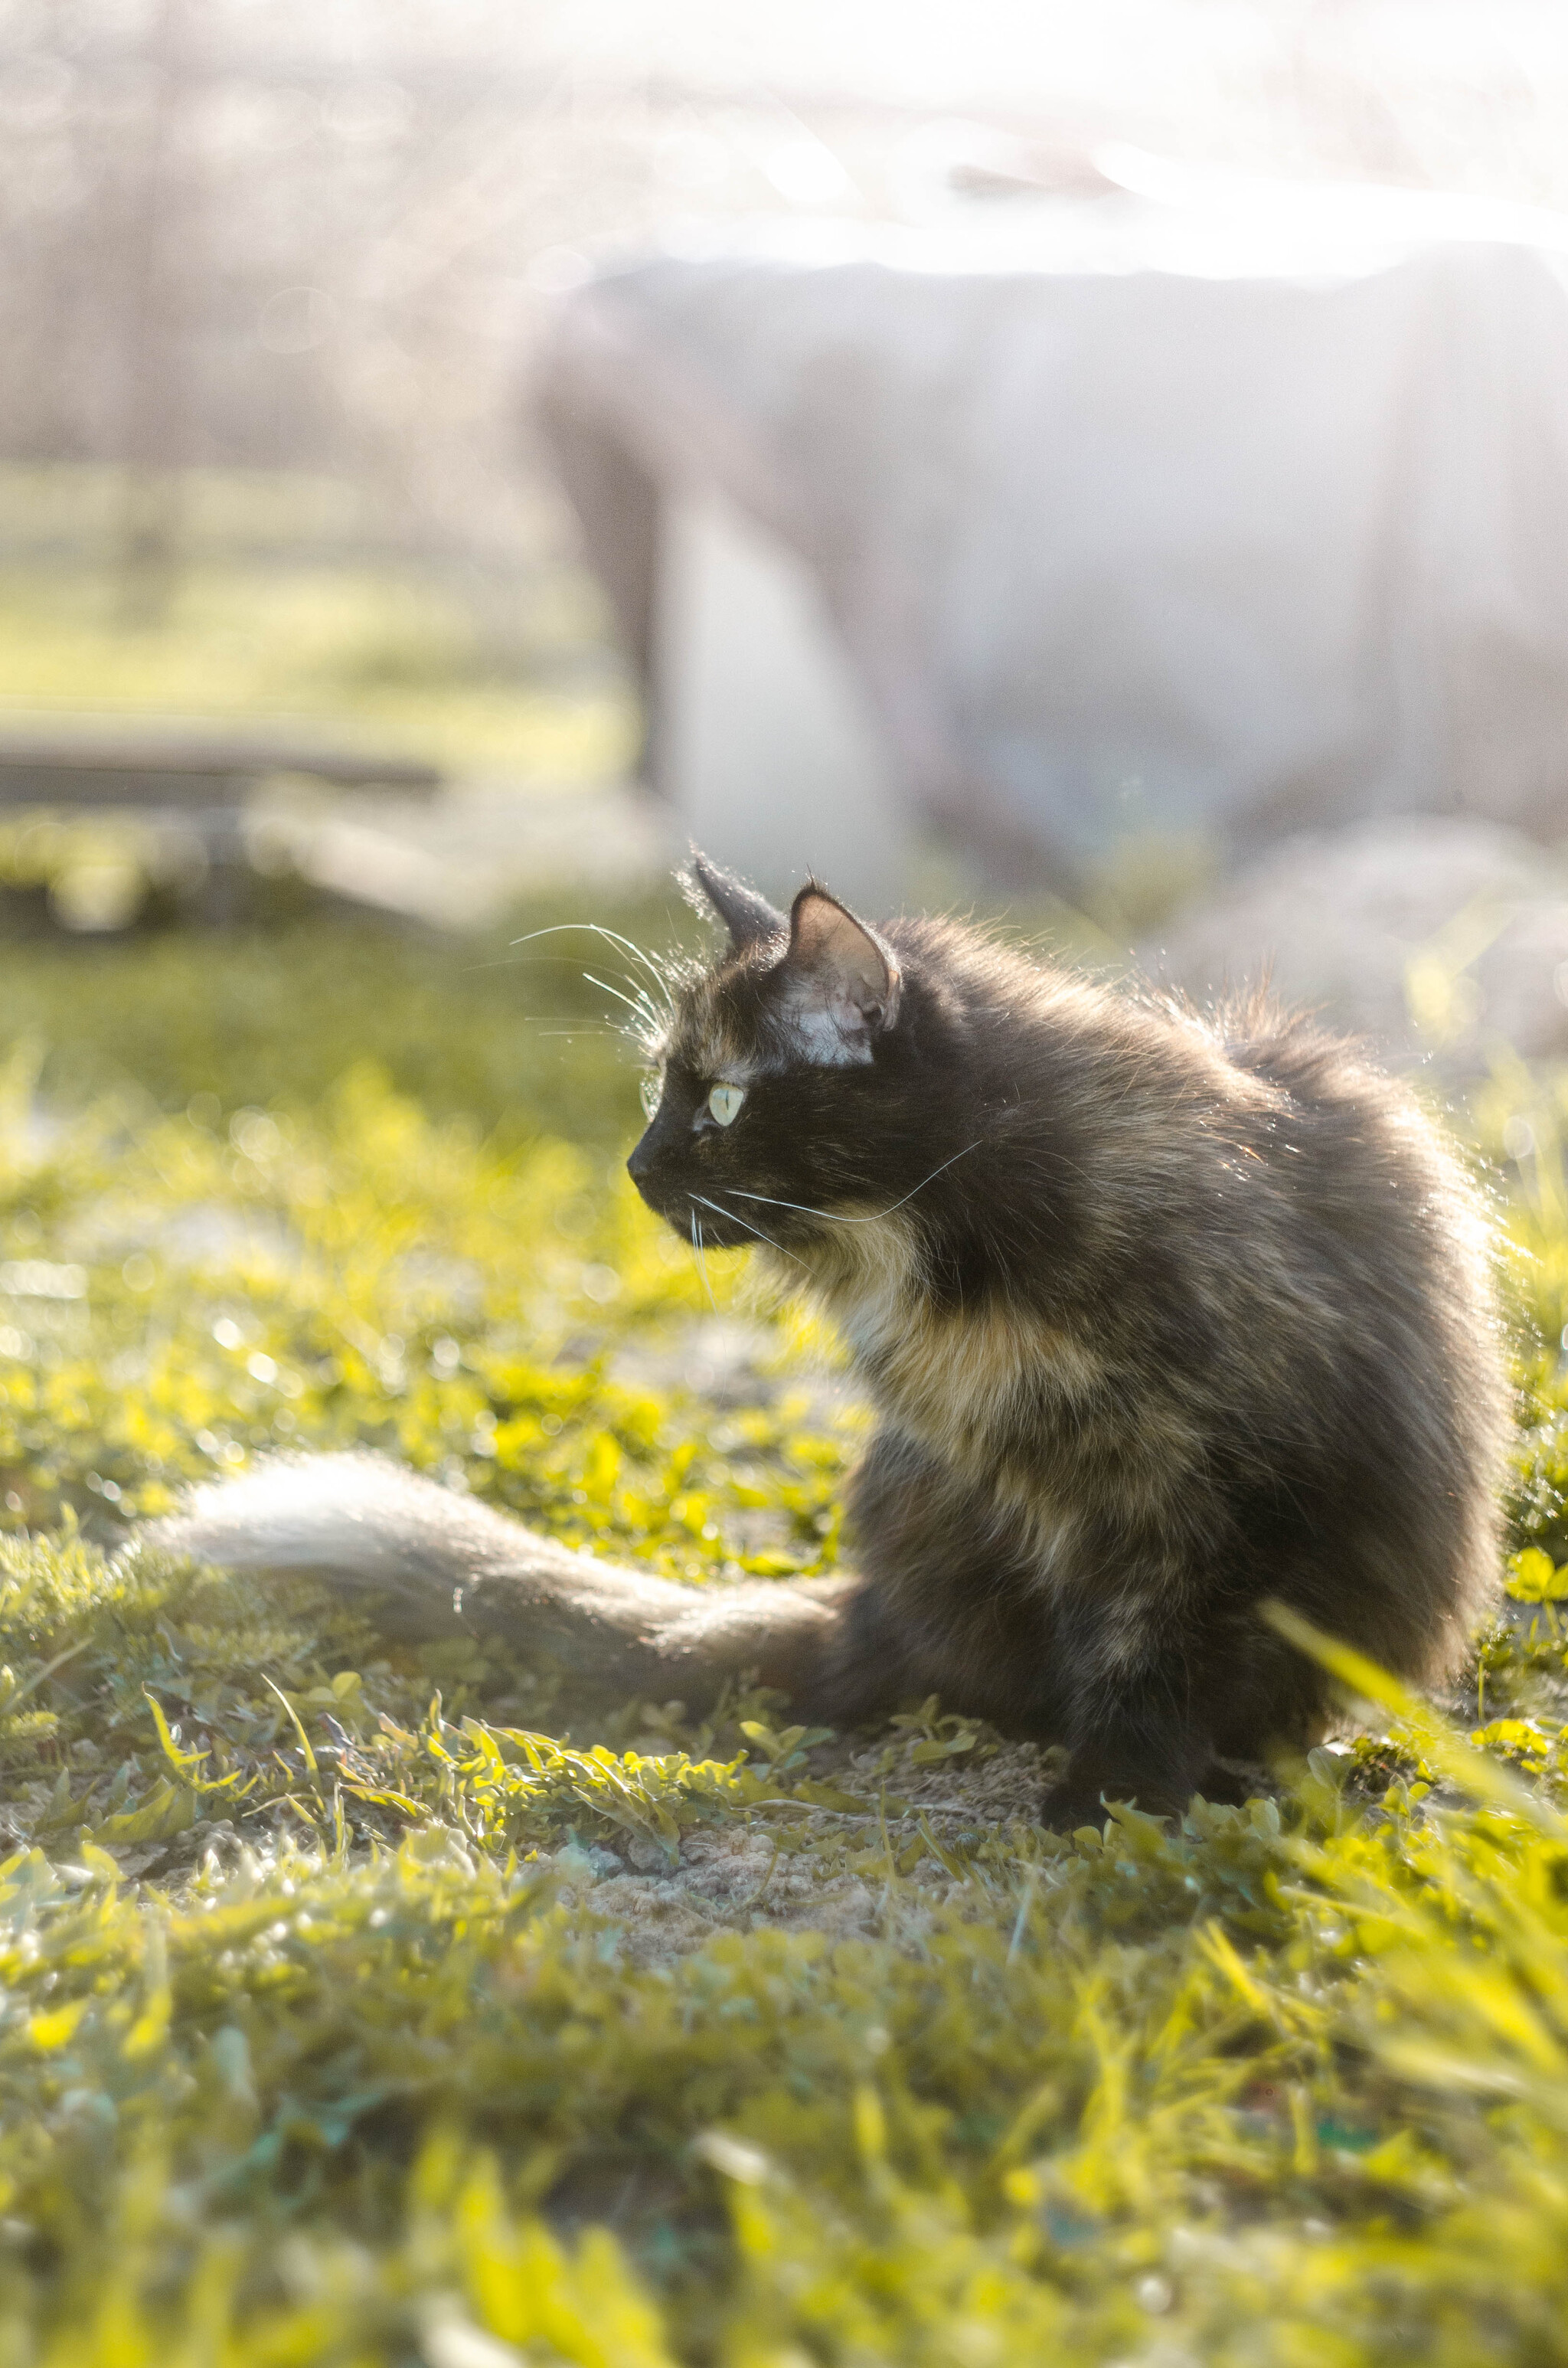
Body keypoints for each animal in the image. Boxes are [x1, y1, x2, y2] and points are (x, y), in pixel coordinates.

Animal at [156, 862, 1515, 1818]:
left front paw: (1115, 1800)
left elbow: (1159, 1655)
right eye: (658, 1086)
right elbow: (1114, 1652)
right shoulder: (1052, 1495)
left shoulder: (1207, 1498)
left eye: (719, 1097)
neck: (954, 1262)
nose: (635, 1167)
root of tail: (870, 1608)